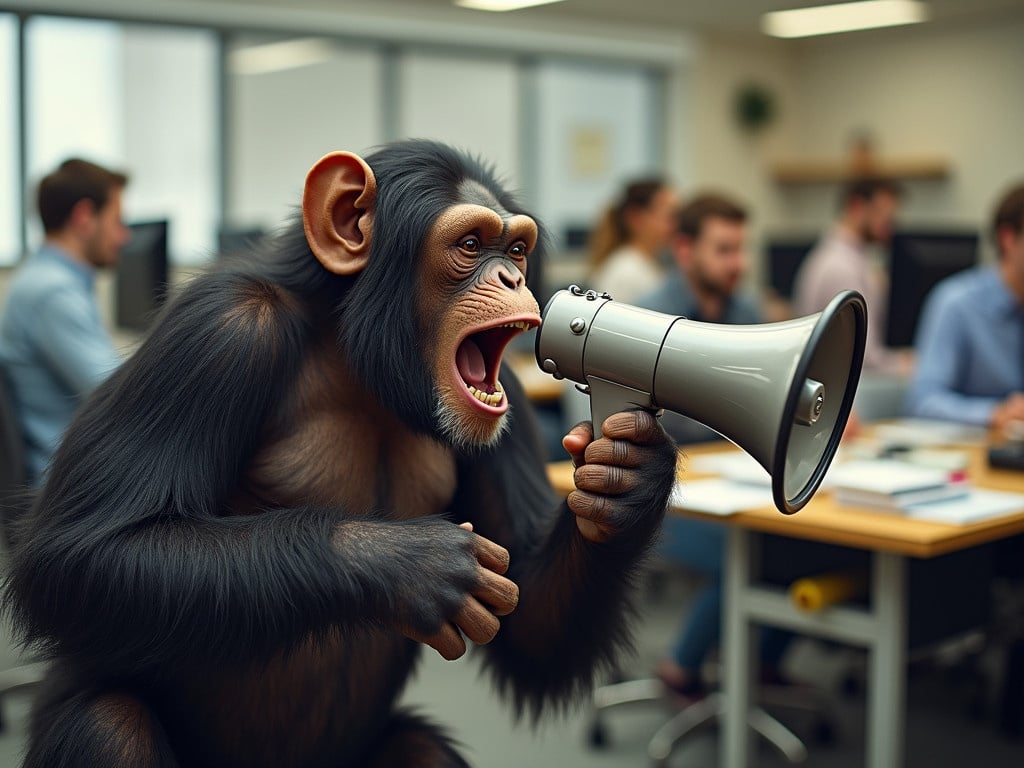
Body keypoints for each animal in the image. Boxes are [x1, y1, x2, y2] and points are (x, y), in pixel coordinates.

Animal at [8, 140, 679, 768]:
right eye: (469, 244)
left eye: (514, 250)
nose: (514, 281)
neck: (358, 358)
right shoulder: (216, 333)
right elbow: (85, 550)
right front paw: (411, 564)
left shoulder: (507, 401)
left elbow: (530, 621)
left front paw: (633, 482)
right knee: (108, 724)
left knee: (423, 751)